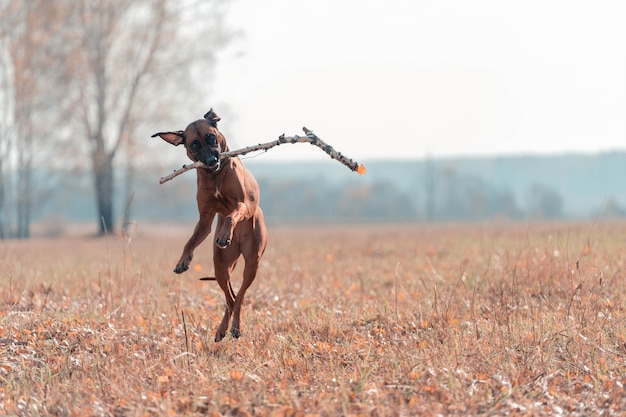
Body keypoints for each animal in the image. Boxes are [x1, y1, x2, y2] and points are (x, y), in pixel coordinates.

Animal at [154, 109, 268, 340]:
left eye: (211, 137)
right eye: (194, 144)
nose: (211, 159)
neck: (214, 175)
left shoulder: (242, 203)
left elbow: (232, 214)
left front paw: (225, 233)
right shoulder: (205, 219)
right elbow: (190, 241)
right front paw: (183, 260)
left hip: (252, 261)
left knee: (240, 295)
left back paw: (236, 327)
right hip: (221, 265)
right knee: (231, 297)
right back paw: (223, 329)